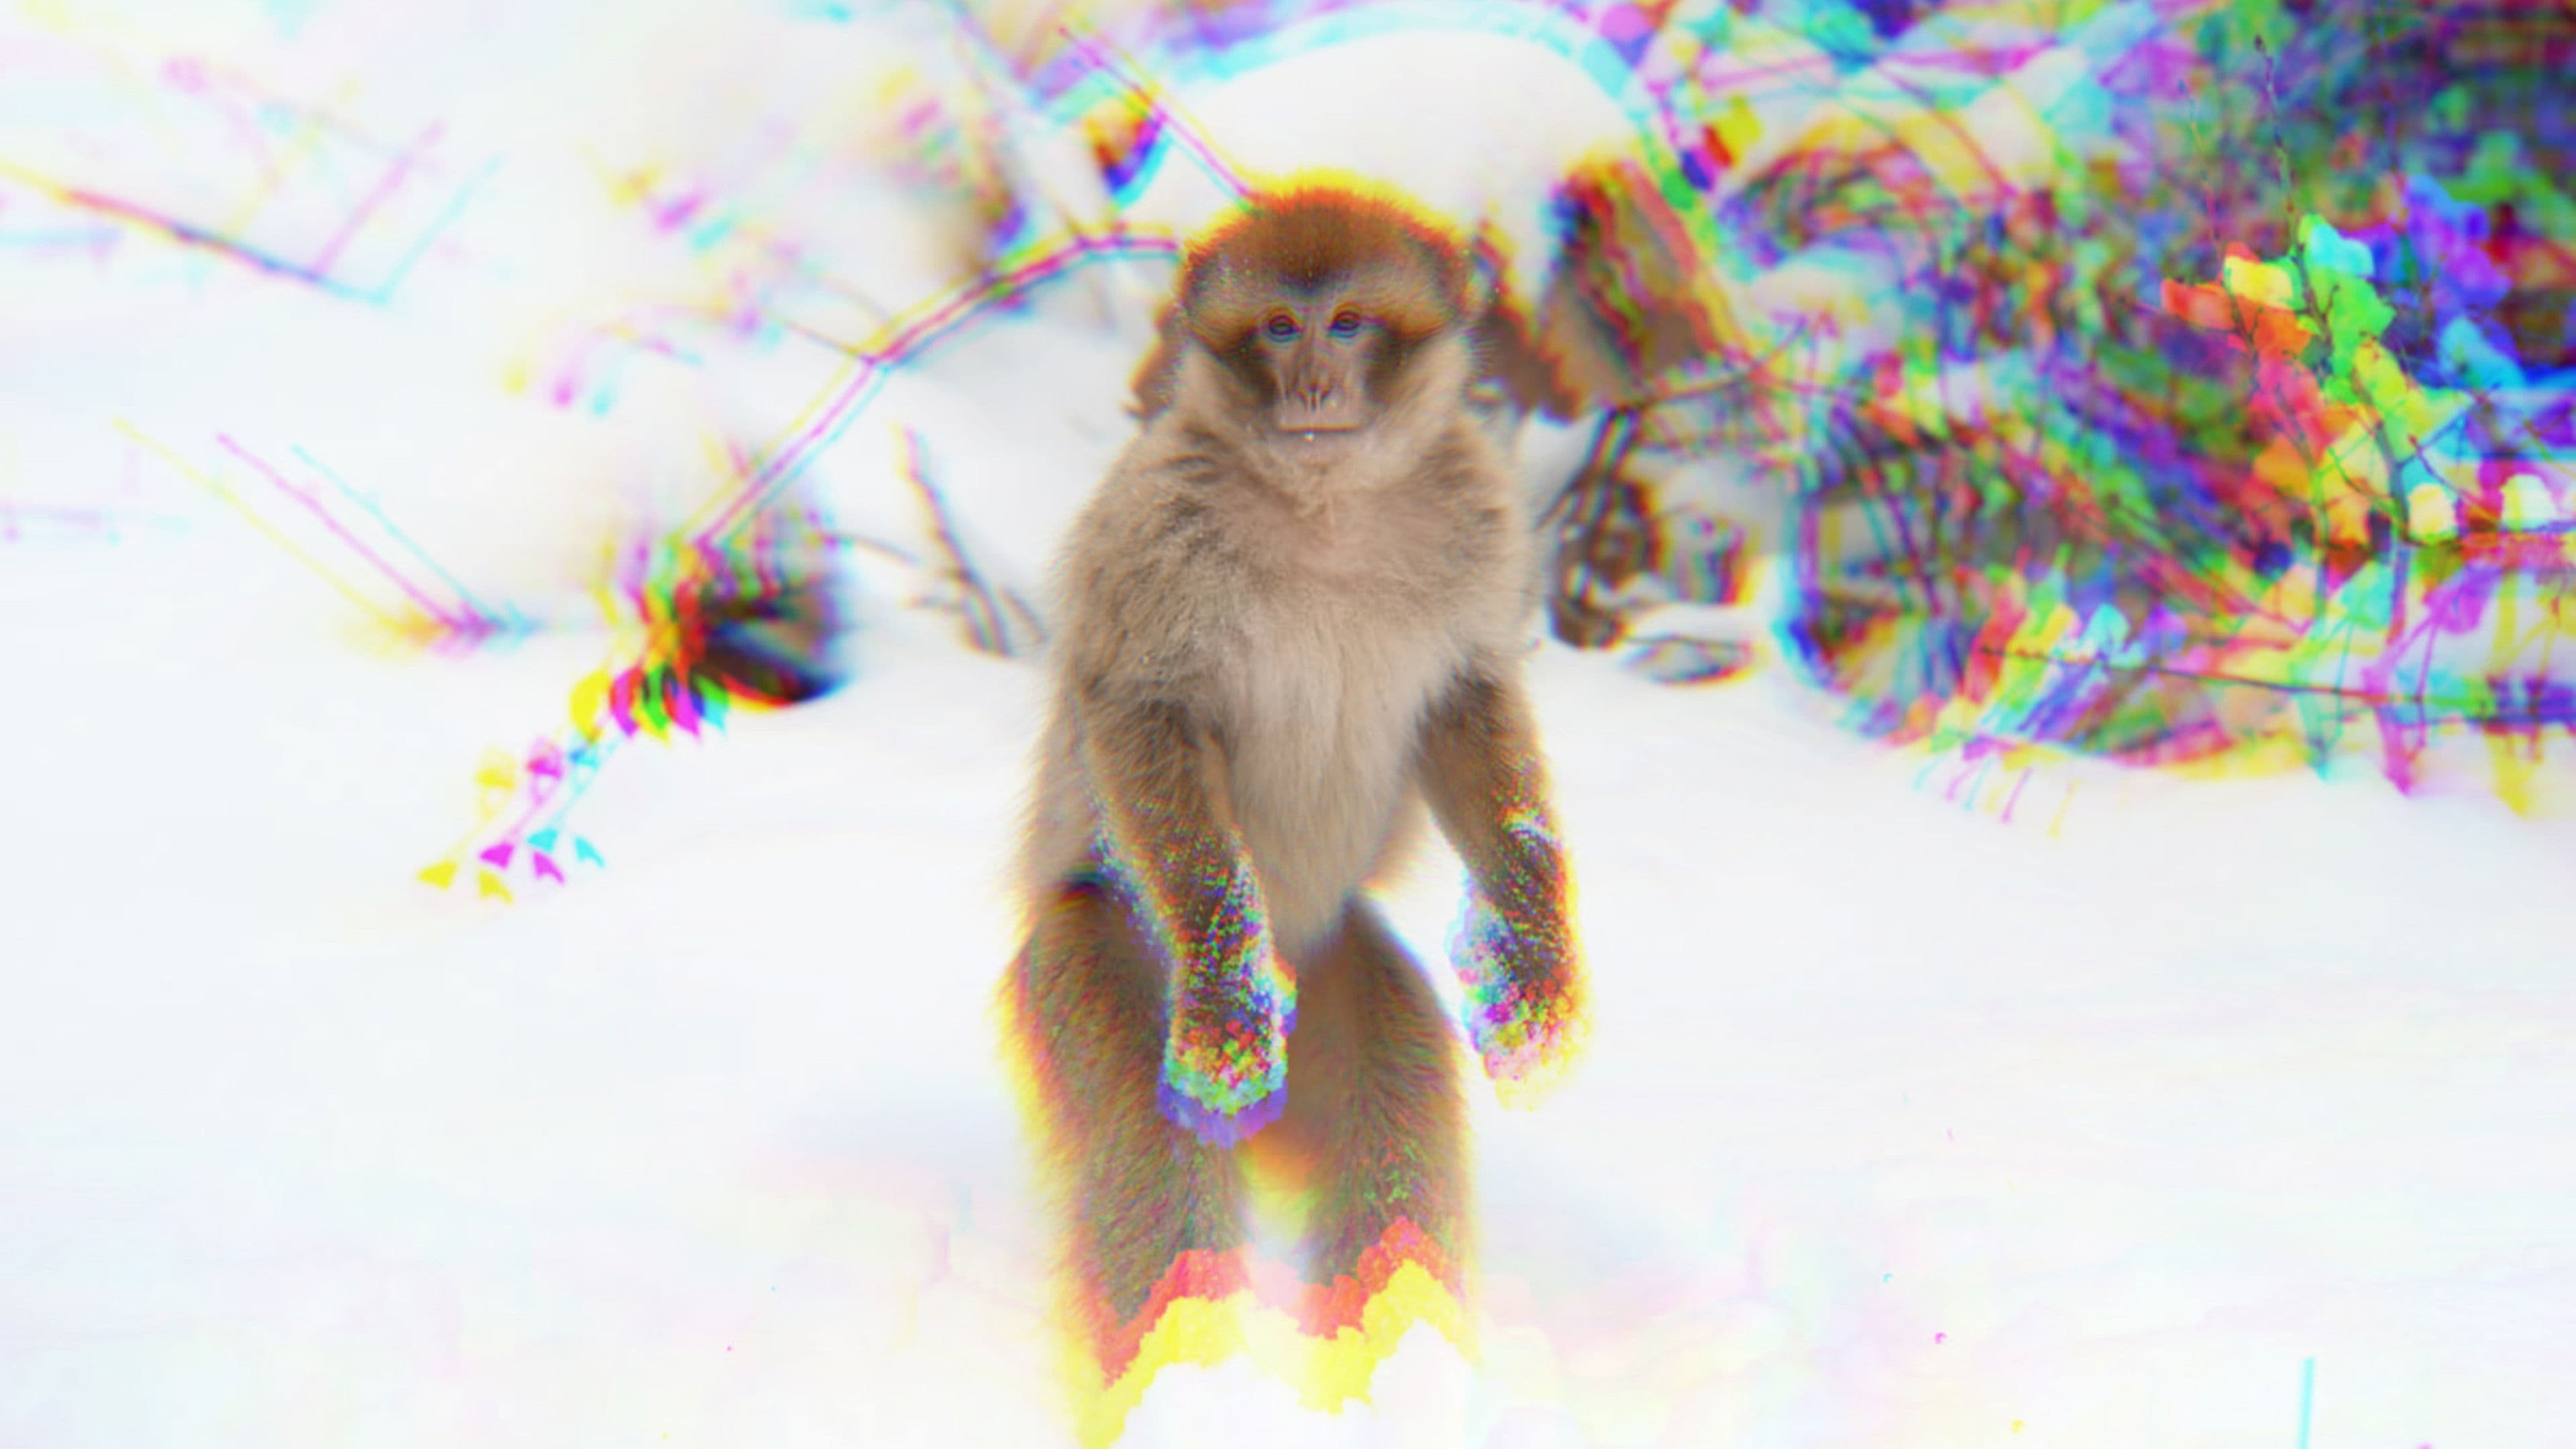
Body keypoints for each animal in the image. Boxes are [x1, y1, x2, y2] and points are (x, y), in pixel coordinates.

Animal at [1001, 178, 1588, 1389]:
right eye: (1279, 328)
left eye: (1350, 323)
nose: (1316, 382)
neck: (1326, 505)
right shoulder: (1151, 531)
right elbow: (1137, 707)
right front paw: (1229, 988)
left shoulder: (1478, 522)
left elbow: (1466, 708)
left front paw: (1532, 953)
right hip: (1092, 954)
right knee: (1152, 1158)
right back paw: (1180, 1378)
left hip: (1342, 978)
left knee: (1395, 1155)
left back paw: (1404, 1372)